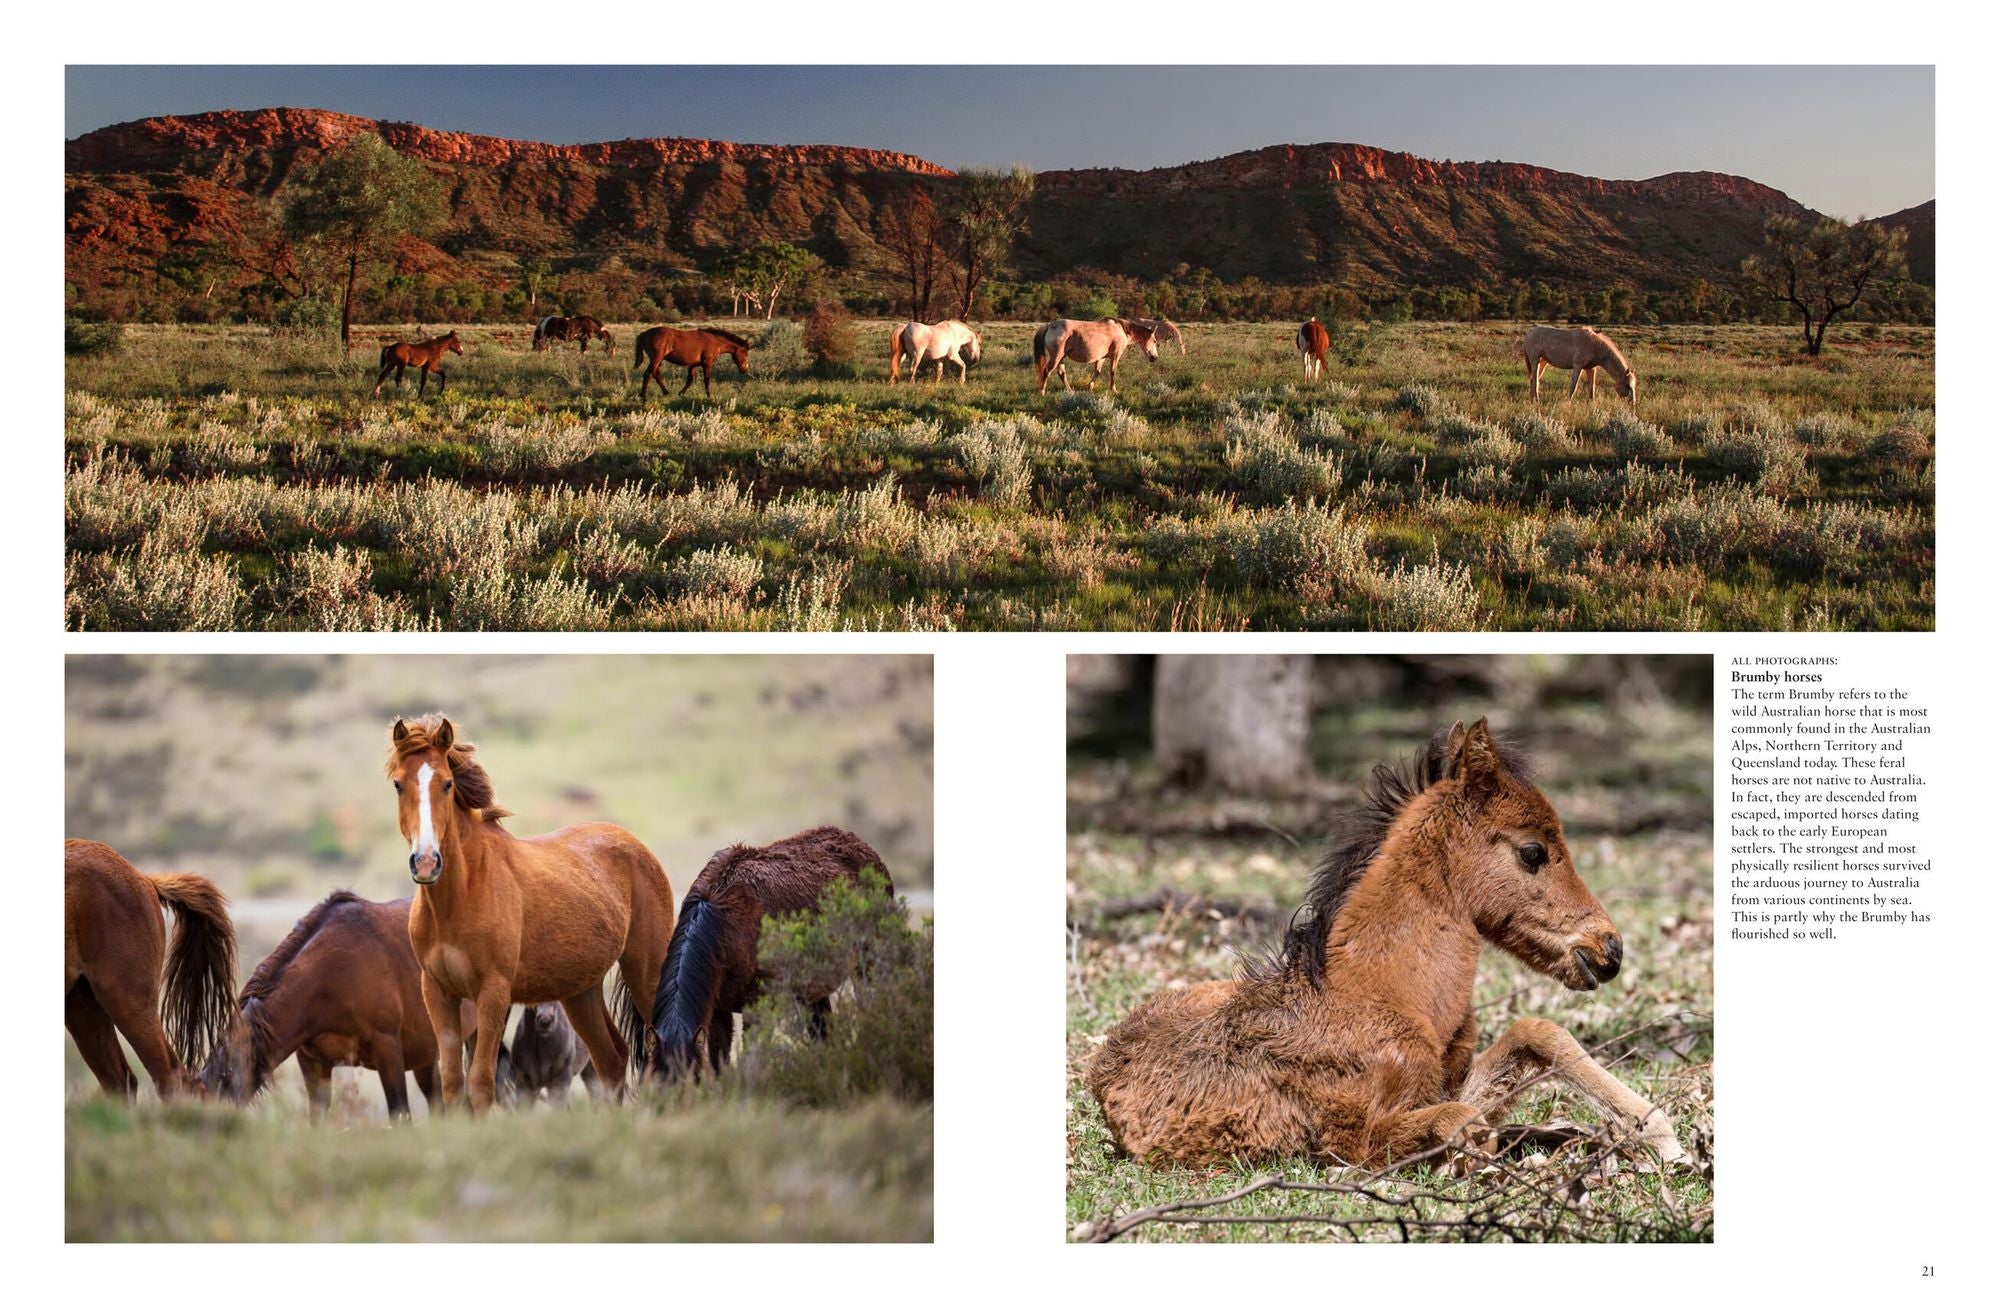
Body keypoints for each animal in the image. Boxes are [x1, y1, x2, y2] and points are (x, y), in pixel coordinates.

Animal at [388, 714, 676, 1114]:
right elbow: (452, 1083)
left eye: (447, 784)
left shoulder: (493, 993)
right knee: (612, 1061)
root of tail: (635, 845)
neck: (460, 898)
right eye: (399, 784)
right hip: (580, 991)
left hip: (646, 972)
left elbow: (481, 1082)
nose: (427, 862)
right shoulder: (438, 992)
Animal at [651, 826, 892, 1078]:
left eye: (693, 1077)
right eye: (658, 1078)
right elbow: (719, 1063)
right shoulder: (718, 1011)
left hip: (867, 963)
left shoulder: (757, 1009)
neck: (724, 924)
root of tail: (864, 848)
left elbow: (751, 1058)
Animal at [1032, 317, 1184, 394]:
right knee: (1046, 372)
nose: (1155, 358)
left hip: (1061, 358)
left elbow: (1097, 373)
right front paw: (1114, 390)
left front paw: (1090, 388)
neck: (1123, 329)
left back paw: (1070, 391)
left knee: (1061, 374)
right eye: (1154, 341)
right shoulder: (1115, 356)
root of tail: (1050, 325)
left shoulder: (1101, 358)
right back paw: (1042, 392)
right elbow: (1113, 372)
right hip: (1056, 357)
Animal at [1086, 720, 1688, 1171]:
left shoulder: (1444, 1082)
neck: (1388, 997)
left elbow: (1534, 1035)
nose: (1609, 949)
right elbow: (1463, 1125)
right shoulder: (1351, 1141)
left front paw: (1656, 1135)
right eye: (1533, 851)